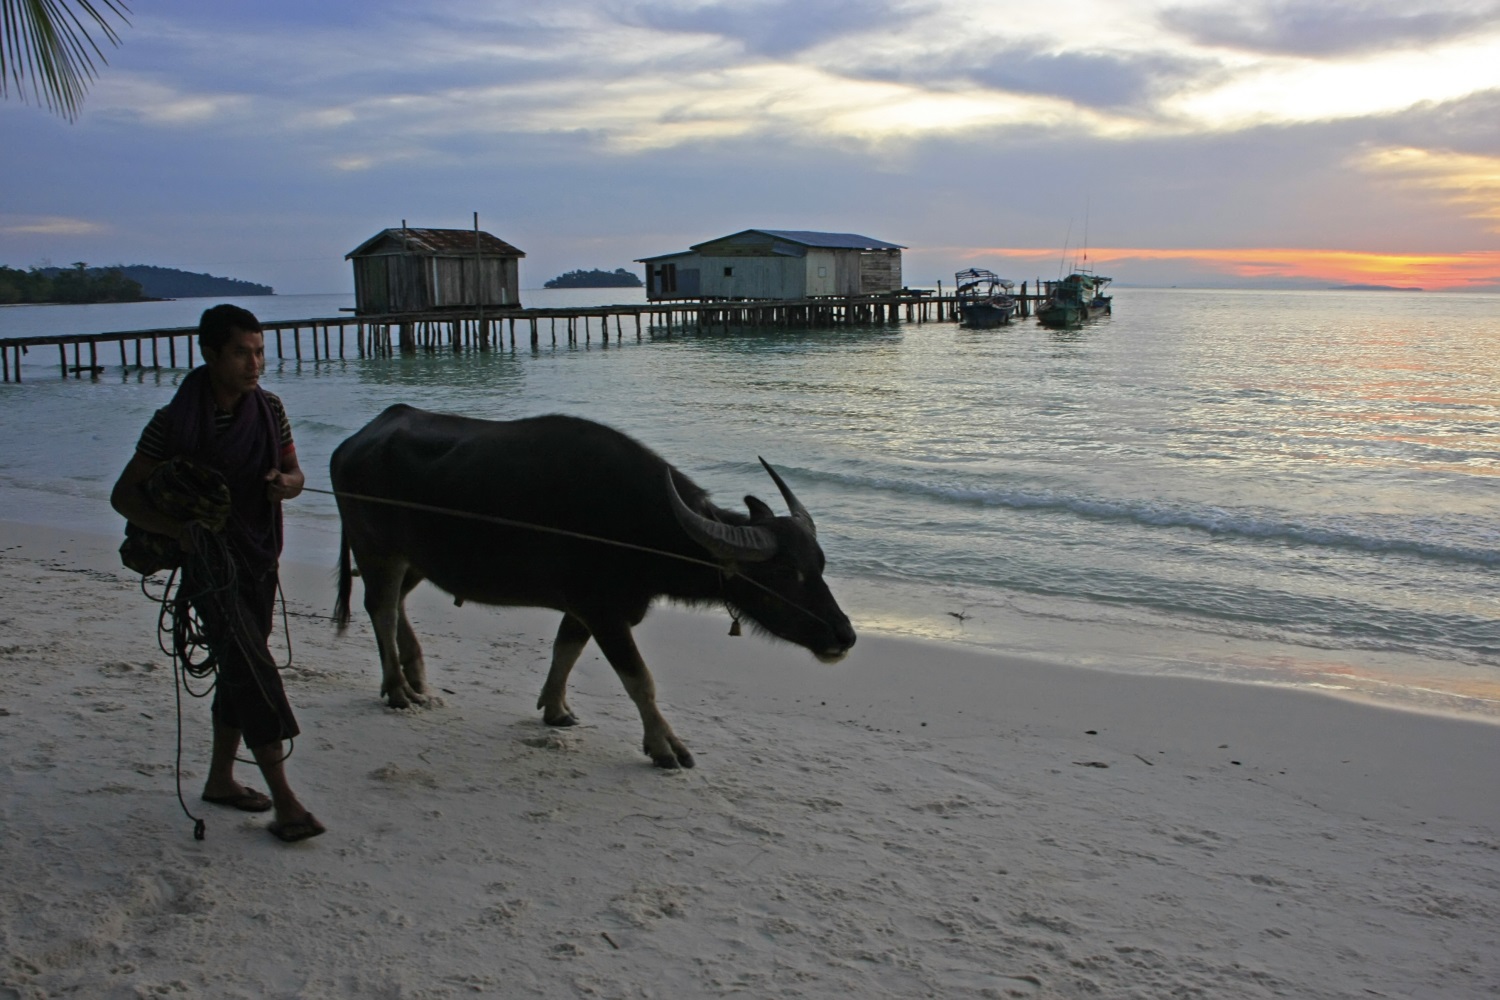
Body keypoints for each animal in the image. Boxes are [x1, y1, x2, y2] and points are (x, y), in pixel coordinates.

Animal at [330, 407, 858, 767]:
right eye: (784, 575)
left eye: (819, 565)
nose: (844, 635)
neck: (640, 525)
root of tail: (353, 443)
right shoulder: (604, 611)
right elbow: (639, 679)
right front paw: (665, 747)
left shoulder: (585, 609)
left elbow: (566, 649)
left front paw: (555, 708)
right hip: (375, 550)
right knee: (380, 608)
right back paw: (398, 689)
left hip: (412, 560)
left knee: (396, 605)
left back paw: (418, 679)